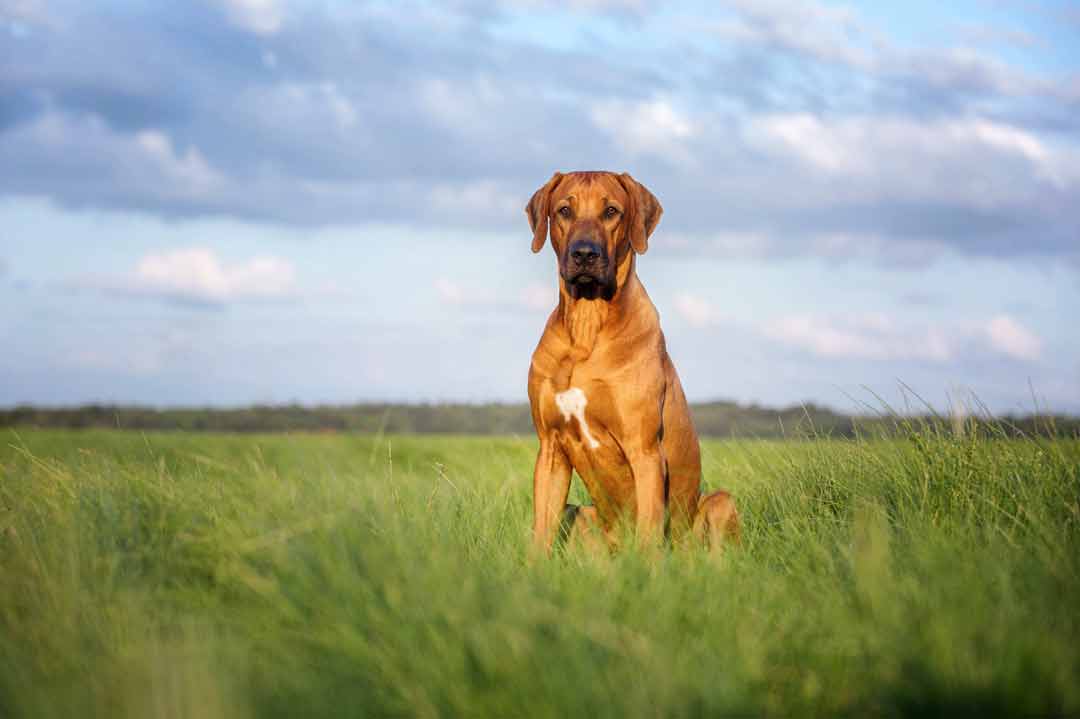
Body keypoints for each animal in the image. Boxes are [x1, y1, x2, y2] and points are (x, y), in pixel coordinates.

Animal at [524, 170, 743, 550]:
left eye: (611, 211)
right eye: (564, 210)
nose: (585, 253)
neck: (587, 324)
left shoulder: (645, 451)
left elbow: (649, 535)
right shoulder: (550, 448)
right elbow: (541, 535)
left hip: (717, 504)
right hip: (579, 512)